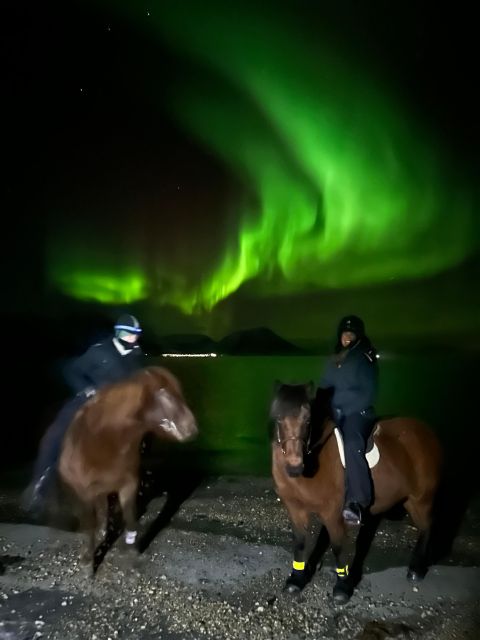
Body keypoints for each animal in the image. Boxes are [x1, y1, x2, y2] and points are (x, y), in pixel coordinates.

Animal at [58, 364, 197, 568]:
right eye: (163, 393)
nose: (192, 428)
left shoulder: (129, 484)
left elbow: (129, 515)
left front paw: (131, 548)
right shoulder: (84, 491)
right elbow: (90, 523)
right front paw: (87, 559)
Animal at [270, 384, 442, 604]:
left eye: (308, 419)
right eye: (278, 418)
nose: (294, 467)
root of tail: (425, 432)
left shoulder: (332, 513)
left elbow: (338, 546)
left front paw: (342, 587)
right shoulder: (295, 509)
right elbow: (300, 543)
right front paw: (296, 580)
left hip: (421, 499)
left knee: (427, 527)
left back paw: (416, 570)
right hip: (411, 501)